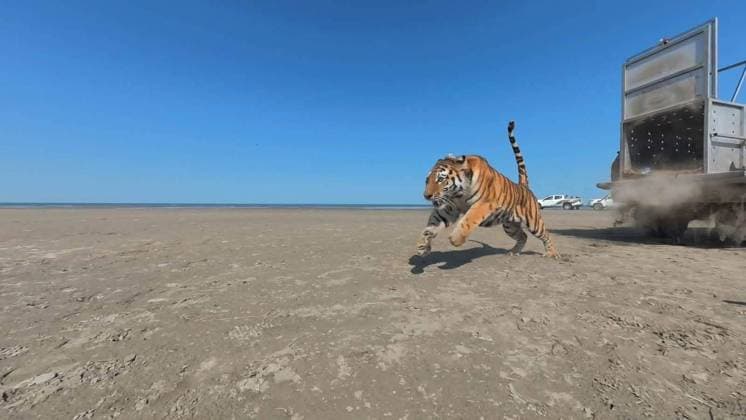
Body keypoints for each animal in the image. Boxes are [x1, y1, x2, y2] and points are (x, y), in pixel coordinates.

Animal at [415, 120, 559, 258]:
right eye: (427, 180)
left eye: (440, 179)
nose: (426, 195)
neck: (458, 193)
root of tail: (523, 185)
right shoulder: (450, 208)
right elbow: (431, 225)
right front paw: (422, 247)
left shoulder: (483, 203)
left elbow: (468, 220)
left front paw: (455, 239)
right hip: (510, 225)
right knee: (523, 236)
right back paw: (513, 252)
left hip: (534, 222)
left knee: (546, 235)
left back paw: (552, 254)